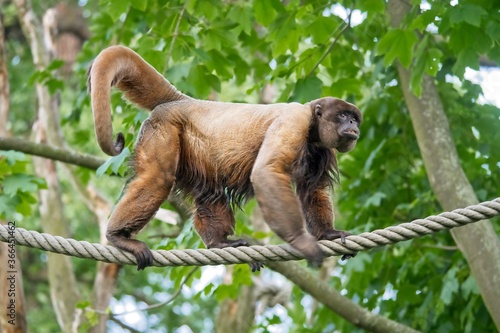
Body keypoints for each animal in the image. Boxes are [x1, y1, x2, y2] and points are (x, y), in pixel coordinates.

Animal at [89, 46, 364, 270]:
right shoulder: (295, 121)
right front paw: (302, 242)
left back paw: (219, 243)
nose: (353, 124)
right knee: (158, 178)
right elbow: (266, 171)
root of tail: (185, 102)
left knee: (209, 189)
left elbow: (313, 188)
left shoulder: (322, 148)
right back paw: (119, 237)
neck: (312, 128)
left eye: (354, 118)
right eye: (342, 116)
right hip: (163, 128)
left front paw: (327, 234)